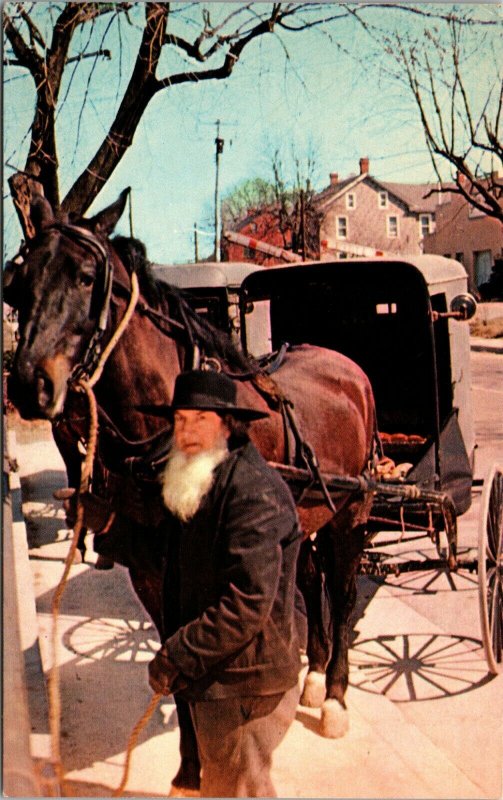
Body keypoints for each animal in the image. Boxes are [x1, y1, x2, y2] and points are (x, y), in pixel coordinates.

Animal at [2, 189, 374, 792]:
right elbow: (175, 661)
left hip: (351, 514)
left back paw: (336, 697)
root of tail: (345, 366)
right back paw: (314, 677)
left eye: (86, 277)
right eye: (19, 283)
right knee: (311, 579)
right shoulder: (153, 574)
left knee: (340, 597)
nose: (29, 384)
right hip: (308, 519)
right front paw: (189, 769)